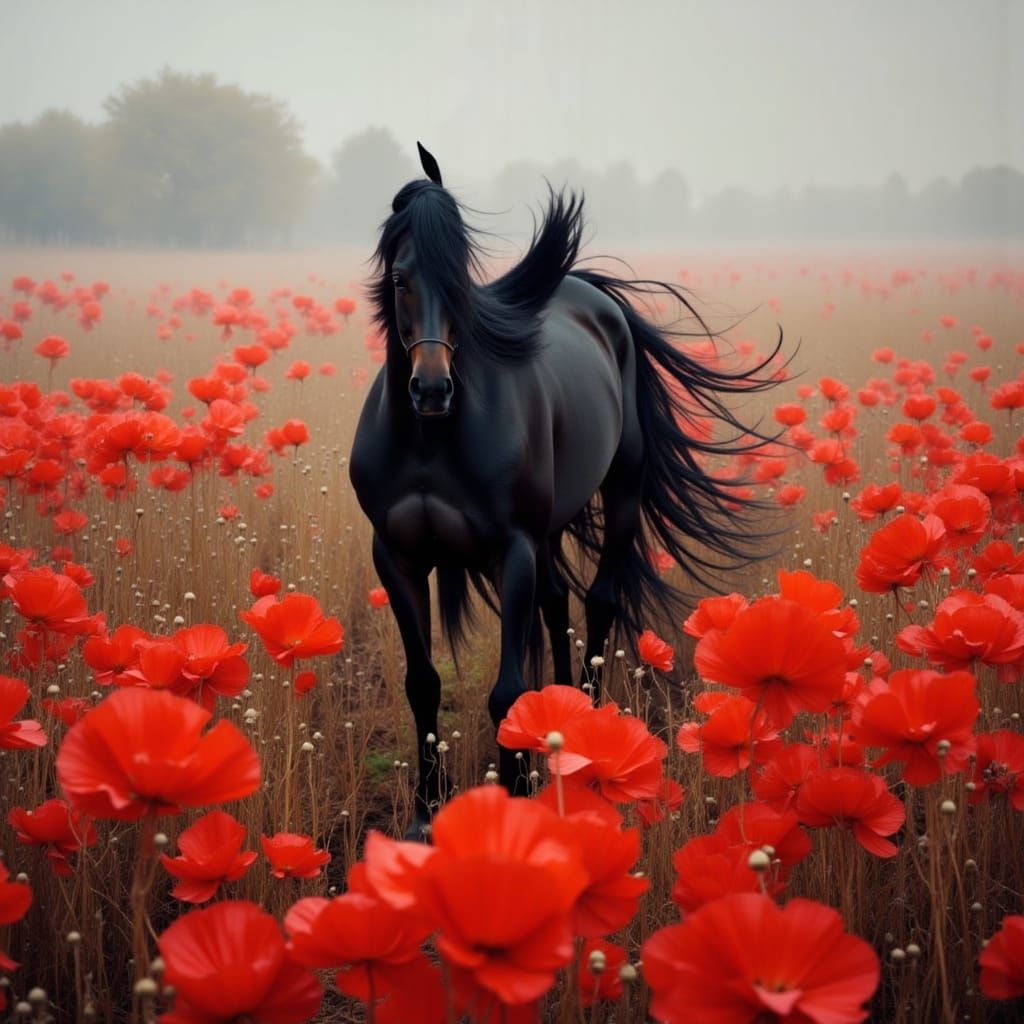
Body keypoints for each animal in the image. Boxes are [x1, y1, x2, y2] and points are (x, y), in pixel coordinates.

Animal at [349, 144, 780, 836]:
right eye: (399, 280)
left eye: (462, 277)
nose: (432, 390)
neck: (430, 442)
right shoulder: (396, 556)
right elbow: (423, 682)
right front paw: (425, 812)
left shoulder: (511, 550)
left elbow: (506, 691)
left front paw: (511, 800)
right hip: (547, 534)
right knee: (555, 607)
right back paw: (563, 729)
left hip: (618, 494)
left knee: (599, 602)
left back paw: (592, 727)